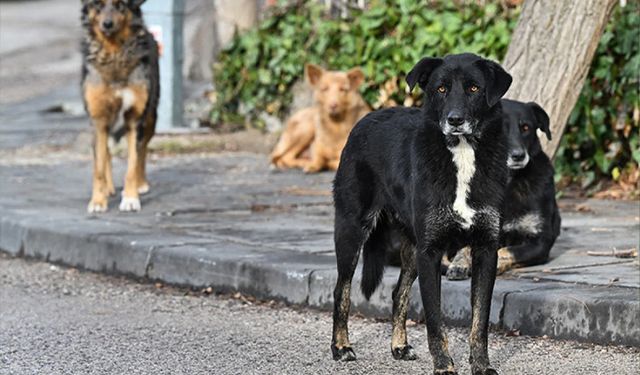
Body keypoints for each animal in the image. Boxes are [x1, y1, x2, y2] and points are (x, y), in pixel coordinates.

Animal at [81, 0, 159, 213]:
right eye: (97, 5)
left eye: (120, 5)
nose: (107, 24)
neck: (114, 51)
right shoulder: (98, 119)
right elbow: (98, 166)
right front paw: (98, 201)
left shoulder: (135, 117)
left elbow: (132, 163)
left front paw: (130, 198)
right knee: (106, 152)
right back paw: (108, 188)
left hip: (151, 117)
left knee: (142, 149)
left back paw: (141, 184)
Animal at [330, 53, 510, 375]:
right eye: (441, 89)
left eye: (474, 88)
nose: (455, 120)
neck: (461, 153)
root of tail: (366, 119)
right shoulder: (430, 252)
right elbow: (435, 322)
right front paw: (444, 366)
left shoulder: (485, 250)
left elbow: (480, 322)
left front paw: (481, 365)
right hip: (352, 229)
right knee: (342, 290)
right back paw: (341, 347)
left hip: (411, 246)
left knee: (397, 293)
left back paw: (398, 346)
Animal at [444, 98, 560, 280]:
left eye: (526, 128)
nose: (518, 156)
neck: (508, 182)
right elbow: (465, 248)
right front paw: (459, 264)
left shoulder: (540, 241)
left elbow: (506, 251)